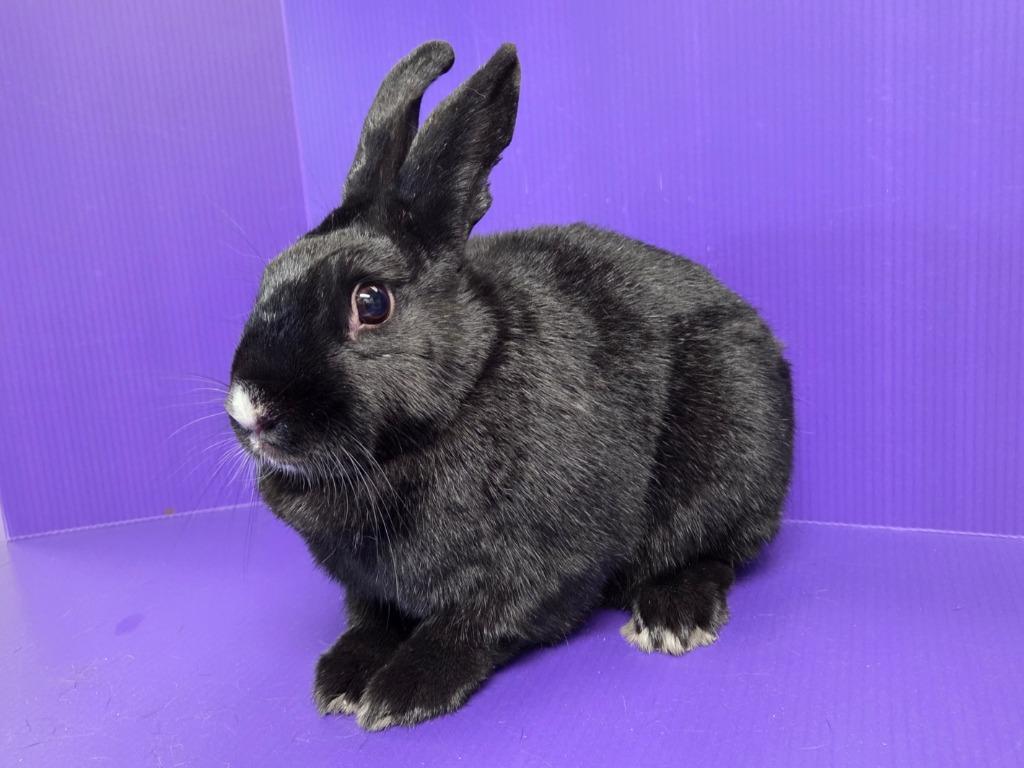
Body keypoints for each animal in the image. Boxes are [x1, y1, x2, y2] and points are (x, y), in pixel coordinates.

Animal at [226, 40, 794, 731]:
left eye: (372, 301)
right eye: (267, 277)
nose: (249, 408)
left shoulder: (540, 566)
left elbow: (475, 625)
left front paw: (402, 692)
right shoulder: (368, 587)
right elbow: (370, 620)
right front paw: (339, 678)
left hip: (731, 459)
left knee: (718, 550)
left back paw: (671, 616)